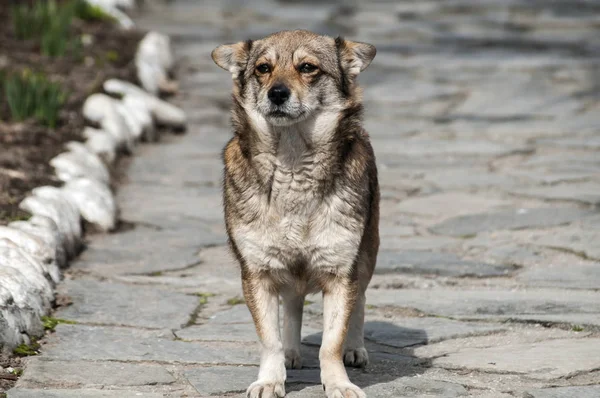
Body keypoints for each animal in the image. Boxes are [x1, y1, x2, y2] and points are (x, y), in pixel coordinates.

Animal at [212, 29, 380, 396]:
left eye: (307, 67)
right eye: (263, 68)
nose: (277, 93)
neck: (292, 165)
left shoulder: (340, 270)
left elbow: (331, 342)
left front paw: (338, 384)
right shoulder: (257, 272)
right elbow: (269, 339)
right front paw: (270, 380)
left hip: (367, 255)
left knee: (360, 301)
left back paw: (355, 349)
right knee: (292, 306)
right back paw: (291, 353)